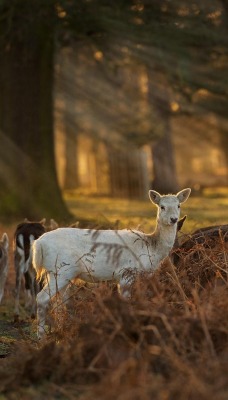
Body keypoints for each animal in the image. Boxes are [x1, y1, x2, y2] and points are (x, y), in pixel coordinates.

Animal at [33, 188, 191, 338]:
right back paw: (41, 337)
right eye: (162, 206)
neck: (151, 249)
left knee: (58, 301)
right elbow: (126, 301)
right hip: (60, 270)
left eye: (178, 205)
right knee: (42, 298)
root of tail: (38, 244)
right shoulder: (126, 272)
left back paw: (61, 330)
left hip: (63, 273)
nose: (173, 219)